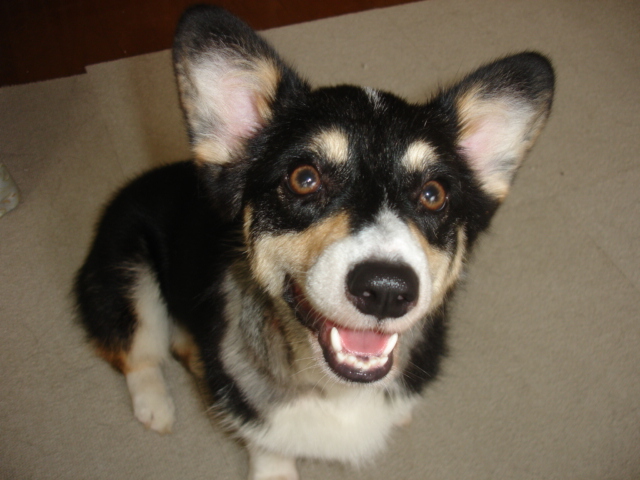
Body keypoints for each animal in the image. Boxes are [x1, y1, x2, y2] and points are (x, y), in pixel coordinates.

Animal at [74, 5, 554, 479]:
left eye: (434, 194)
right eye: (304, 178)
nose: (386, 290)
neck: (337, 388)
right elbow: (267, 441)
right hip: (128, 274)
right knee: (137, 351)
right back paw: (156, 405)